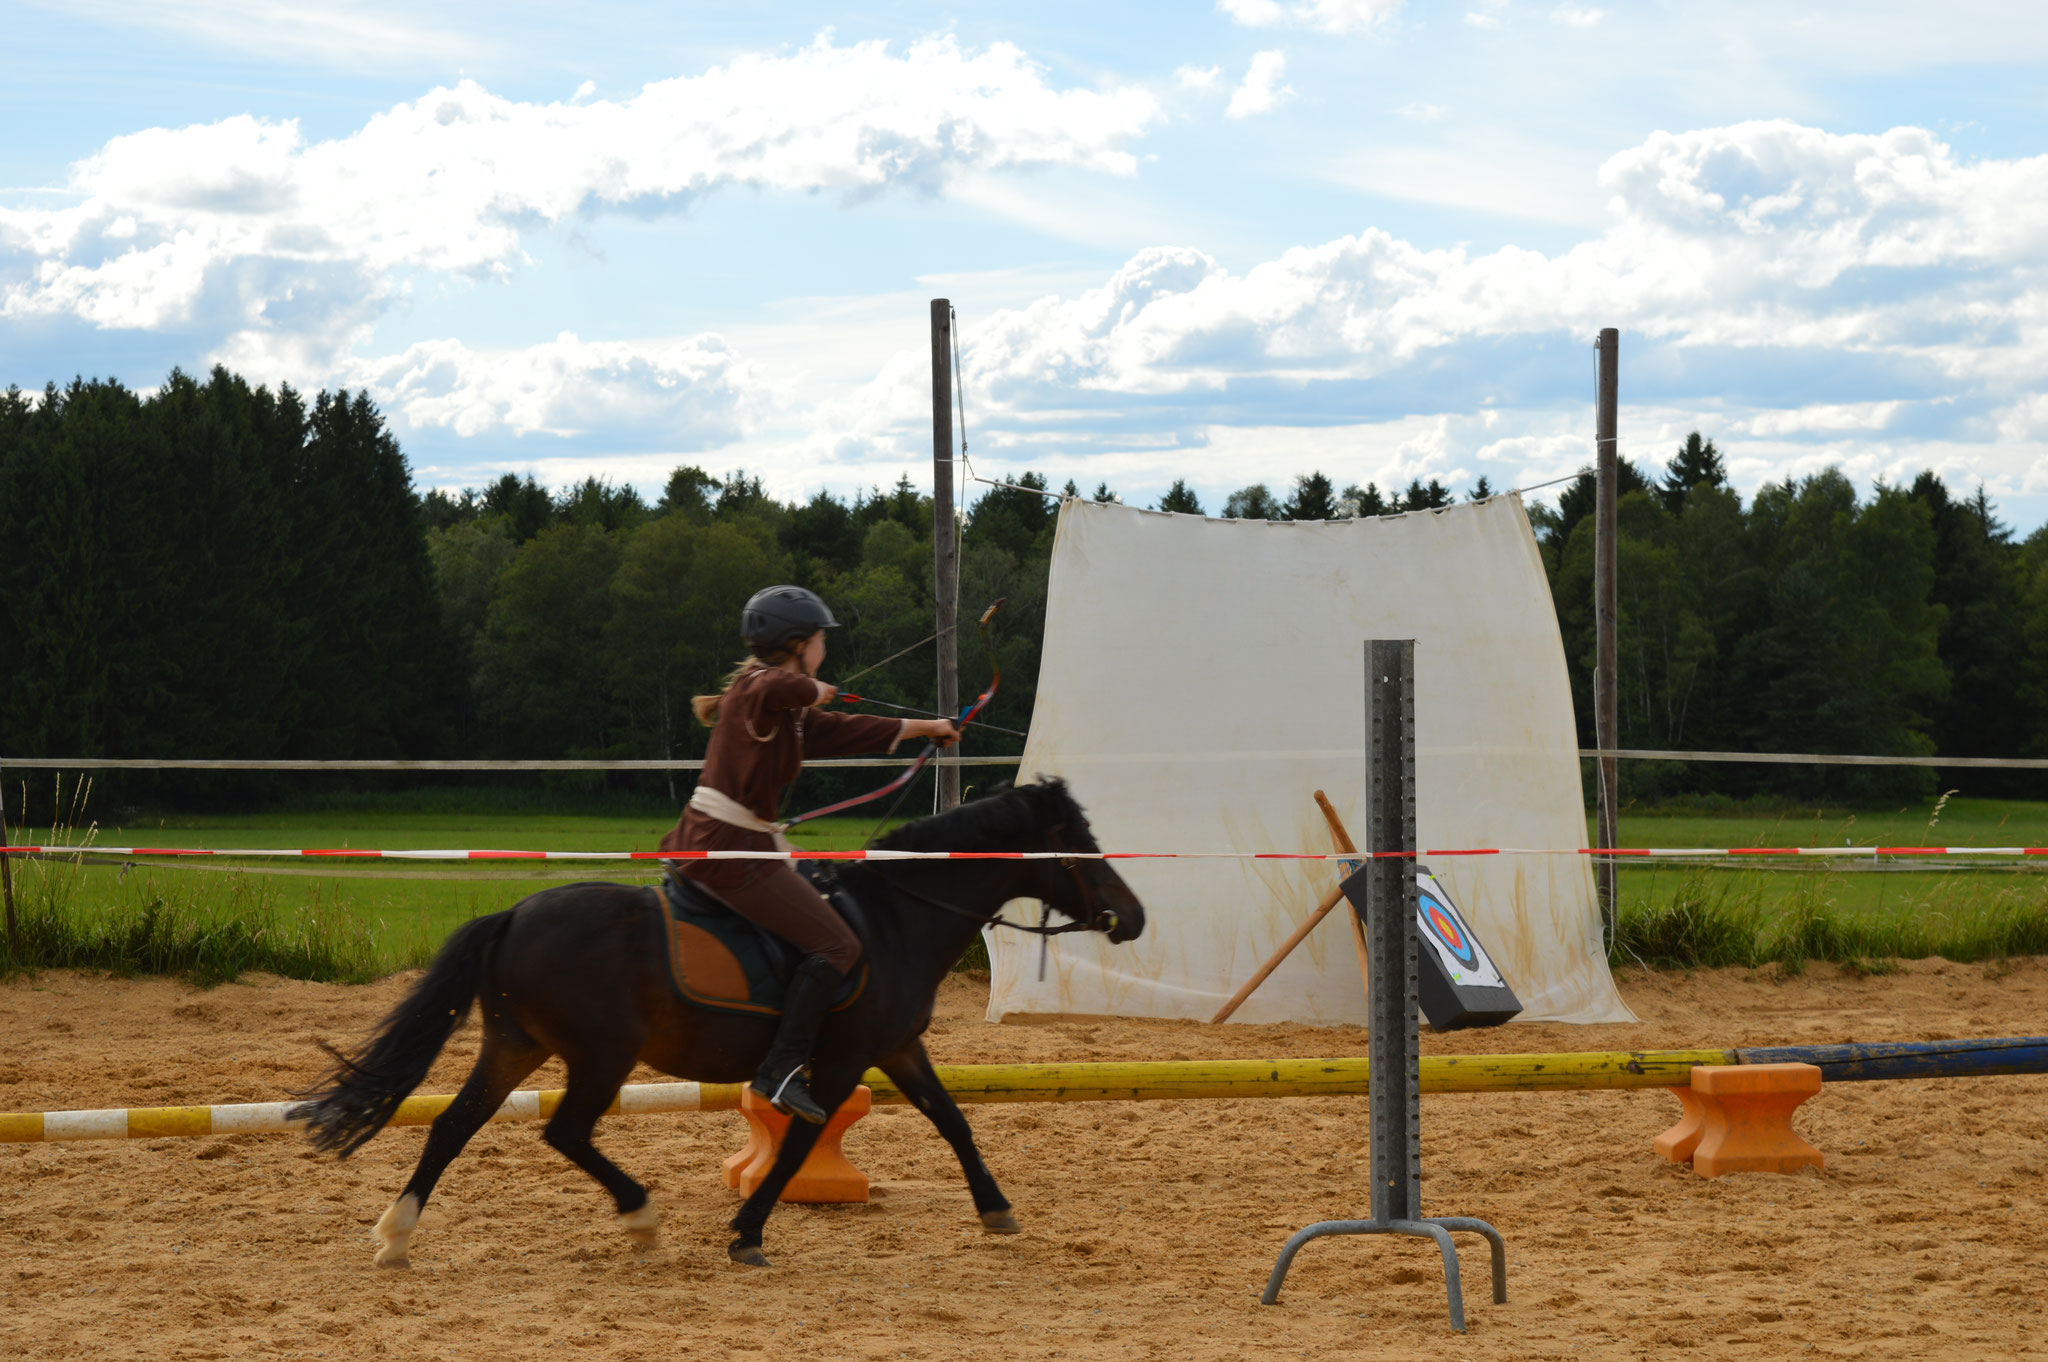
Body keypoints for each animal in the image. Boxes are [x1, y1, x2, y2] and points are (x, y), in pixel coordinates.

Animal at [286, 774, 1146, 1261]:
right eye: (1078, 841)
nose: (1131, 917)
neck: (897, 914)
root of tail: (515, 915)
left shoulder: (898, 1047)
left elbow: (954, 1121)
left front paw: (997, 1209)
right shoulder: (838, 1061)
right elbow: (795, 1147)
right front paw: (747, 1232)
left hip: (515, 1044)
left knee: (452, 1125)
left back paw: (396, 1234)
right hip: (601, 1054)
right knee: (565, 1132)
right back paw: (639, 1218)